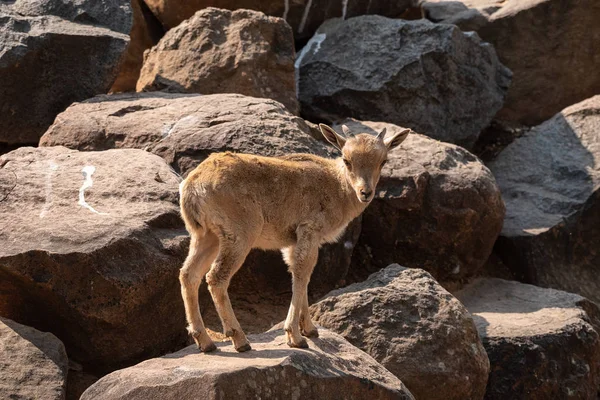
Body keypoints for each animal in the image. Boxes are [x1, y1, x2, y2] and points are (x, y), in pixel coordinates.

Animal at [180, 123, 410, 352]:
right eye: (346, 159)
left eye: (383, 160)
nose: (365, 192)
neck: (336, 187)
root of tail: (192, 187)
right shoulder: (309, 228)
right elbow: (303, 271)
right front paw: (296, 336)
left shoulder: (294, 240)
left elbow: (298, 272)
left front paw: (309, 329)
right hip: (239, 233)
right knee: (216, 277)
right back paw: (240, 339)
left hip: (206, 235)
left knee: (189, 274)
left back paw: (205, 341)